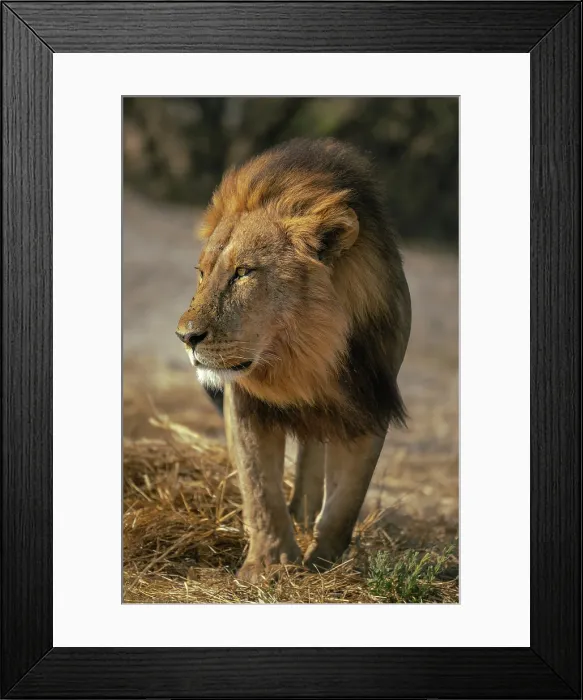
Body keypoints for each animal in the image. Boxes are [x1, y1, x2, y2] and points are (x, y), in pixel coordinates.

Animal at [176, 138, 411, 582]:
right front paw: (268, 565)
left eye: (244, 272)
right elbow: (260, 490)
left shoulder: (370, 401)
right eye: (202, 273)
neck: (303, 356)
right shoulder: (245, 403)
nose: (185, 337)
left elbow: (345, 503)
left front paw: (324, 565)